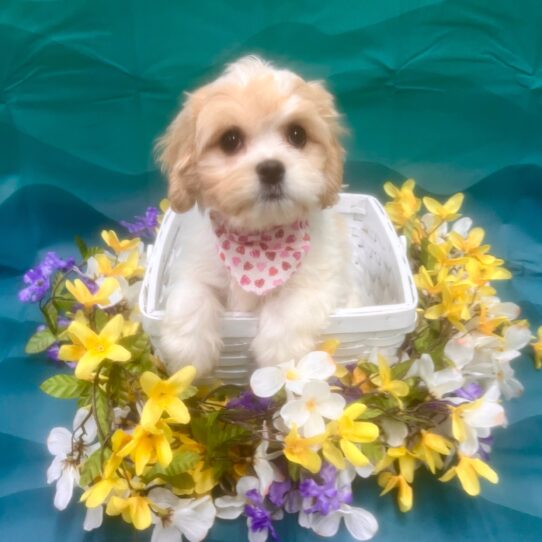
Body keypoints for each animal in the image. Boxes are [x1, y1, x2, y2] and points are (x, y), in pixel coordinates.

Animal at [157, 56, 360, 378]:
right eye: (230, 140)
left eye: (297, 135)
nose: (271, 168)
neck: (260, 239)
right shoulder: (194, 265)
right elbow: (190, 295)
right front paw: (188, 353)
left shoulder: (320, 277)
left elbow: (292, 306)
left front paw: (281, 359)